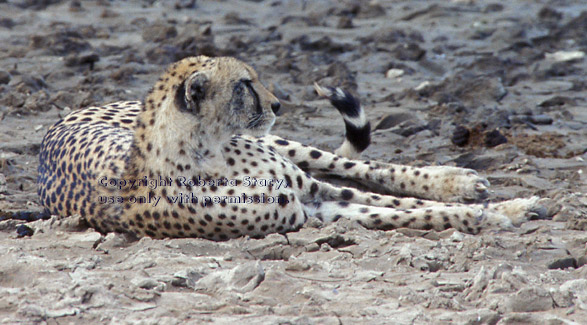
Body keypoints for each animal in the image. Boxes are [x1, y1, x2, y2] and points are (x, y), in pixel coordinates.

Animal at [39, 55, 548, 240]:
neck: (208, 152)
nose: (278, 103)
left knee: (356, 164)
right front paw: (492, 217)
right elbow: (409, 214)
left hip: (284, 145)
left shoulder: (311, 191)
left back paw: (457, 179)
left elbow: (399, 200)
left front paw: (508, 206)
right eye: (245, 84)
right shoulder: (308, 211)